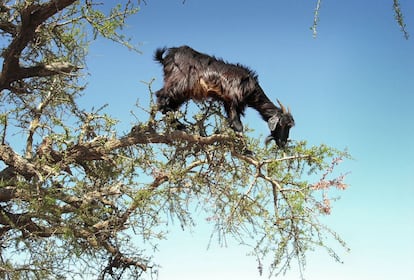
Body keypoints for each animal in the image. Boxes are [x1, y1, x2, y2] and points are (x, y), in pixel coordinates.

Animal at [154, 44, 294, 148]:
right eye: (283, 125)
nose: (283, 143)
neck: (251, 88)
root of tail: (168, 56)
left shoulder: (230, 102)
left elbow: (234, 124)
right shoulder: (232, 99)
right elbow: (238, 125)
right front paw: (246, 150)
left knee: (170, 106)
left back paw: (178, 125)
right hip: (179, 83)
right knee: (161, 97)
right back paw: (179, 124)